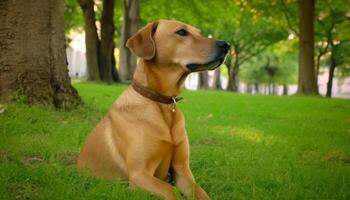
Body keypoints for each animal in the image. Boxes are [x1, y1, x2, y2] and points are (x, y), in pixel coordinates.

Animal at [77, 19, 230, 200]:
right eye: (182, 32)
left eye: (198, 33)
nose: (226, 45)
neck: (162, 103)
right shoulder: (139, 175)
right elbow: (170, 191)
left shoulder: (182, 171)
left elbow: (200, 193)